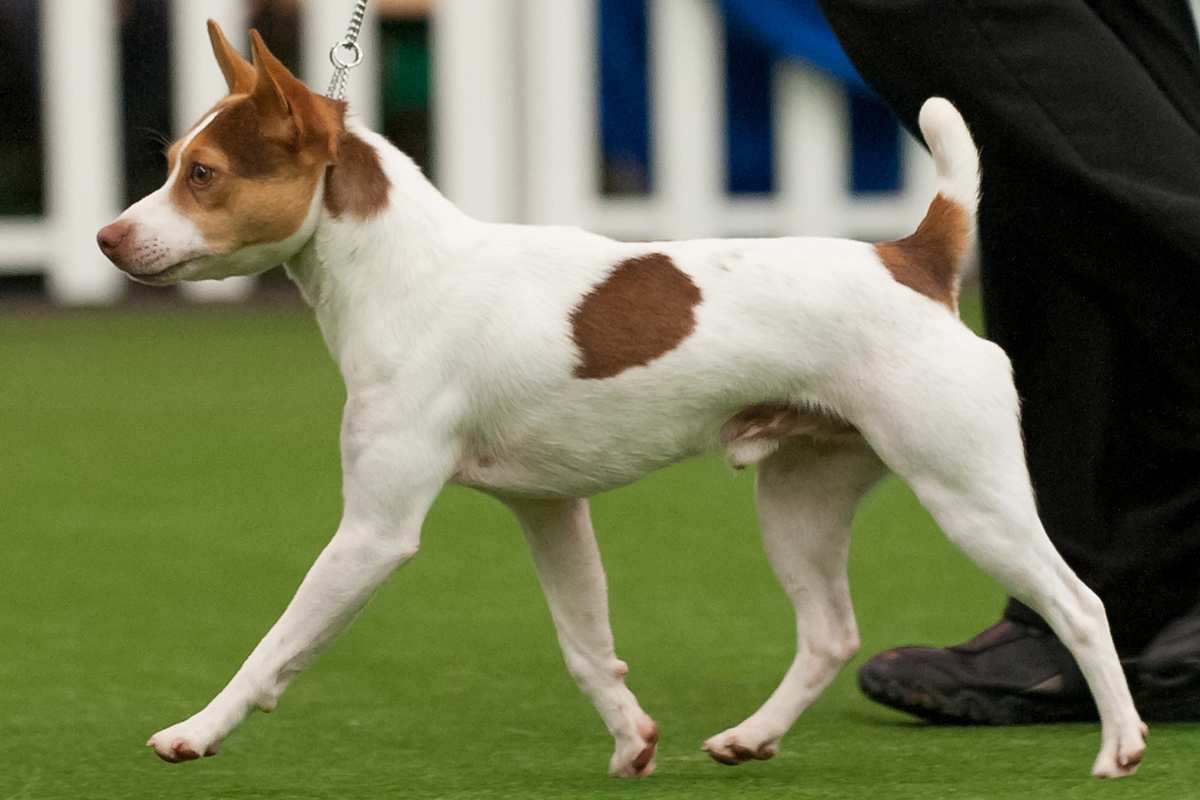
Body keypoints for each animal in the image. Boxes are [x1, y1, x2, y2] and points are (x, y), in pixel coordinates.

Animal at [98, 23, 1147, 777]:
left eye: (203, 176)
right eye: (171, 163)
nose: (107, 237)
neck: (408, 271)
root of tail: (915, 260)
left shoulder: (374, 532)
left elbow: (275, 645)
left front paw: (197, 730)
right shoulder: (549, 509)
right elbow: (584, 642)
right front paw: (631, 736)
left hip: (969, 493)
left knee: (1080, 603)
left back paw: (1119, 746)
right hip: (800, 501)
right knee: (829, 633)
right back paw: (752, 736)